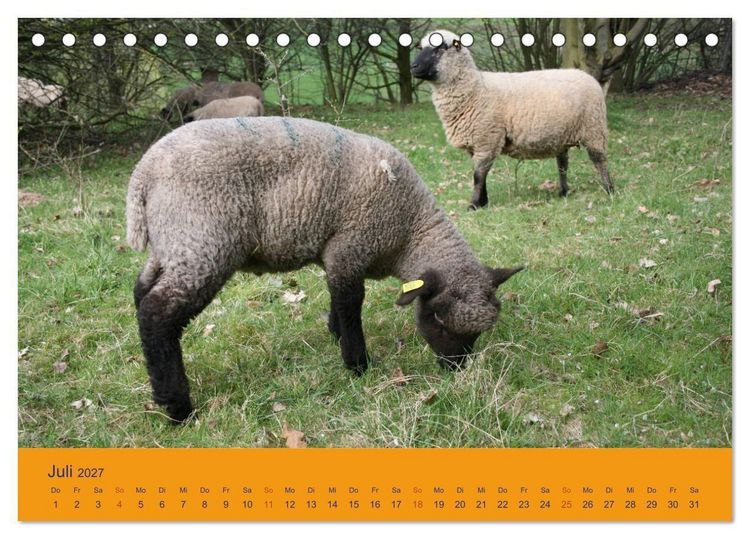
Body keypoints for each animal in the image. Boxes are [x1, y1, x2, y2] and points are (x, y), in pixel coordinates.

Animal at [126, 116, 523, 422]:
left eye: (476, 336)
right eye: (438, 319)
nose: (455, 369)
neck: (409, 230)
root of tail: (143, 173)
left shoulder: (337, 253)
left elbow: (338, 299)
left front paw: (335, 335)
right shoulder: (352, 245)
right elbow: (351, 304)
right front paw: (357, 363)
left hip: (174, 245)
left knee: (141, 293)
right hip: (203, 241)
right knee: (157, 313)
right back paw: (177, 407)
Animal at [411, 30, 614, 209]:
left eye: (440, 48)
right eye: (421, 47)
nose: (413, 67)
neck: (475, 88)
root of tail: (588, 77)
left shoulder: (487, 138)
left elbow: (478, 176)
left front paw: (474, 205)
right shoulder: (477, 143)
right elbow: (480, 176)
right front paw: (483, 203)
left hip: (594, 128)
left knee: (599, 159)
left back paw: (609, 190)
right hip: (562, 135)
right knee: (562, 164)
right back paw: (563, 192)